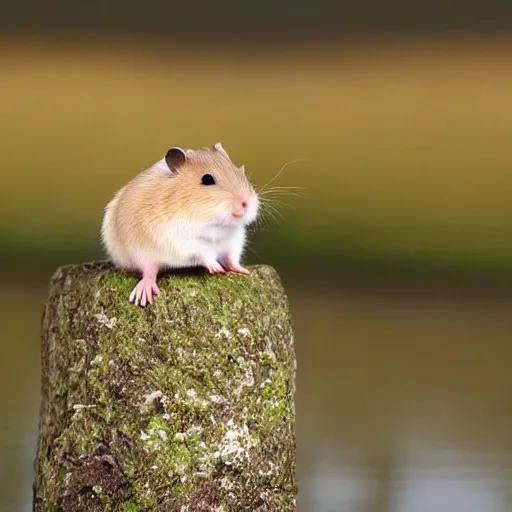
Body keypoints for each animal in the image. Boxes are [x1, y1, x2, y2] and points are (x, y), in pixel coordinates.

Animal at [101, 142, 260, 306]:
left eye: (240, 172)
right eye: (207, 179)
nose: (246, 203)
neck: (212, 223)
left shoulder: (234, 240)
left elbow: (232, 258)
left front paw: (243, 270)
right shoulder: (181, 239)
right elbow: (205, 253)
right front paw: (217, 269)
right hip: (140, 253)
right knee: (149, 271)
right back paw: (144, 293)